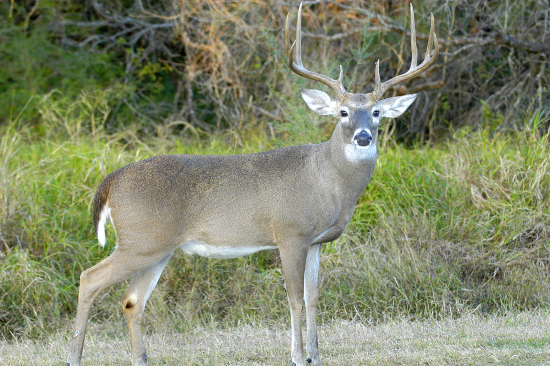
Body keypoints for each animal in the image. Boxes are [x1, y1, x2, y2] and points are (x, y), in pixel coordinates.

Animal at [66, 3, 440, 366]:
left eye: (376, 112)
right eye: (343, 112)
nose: (363, 137)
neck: (326, 181)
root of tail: (111, 181)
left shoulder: (317, 242)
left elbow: (313, 297)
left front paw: (316, 356)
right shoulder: (290, 233)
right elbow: (294, 298)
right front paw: (297, 357)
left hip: (159, 247)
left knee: (132, 300)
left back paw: (140, 358)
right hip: (140, 240)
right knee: (89, 279)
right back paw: (73, 358)